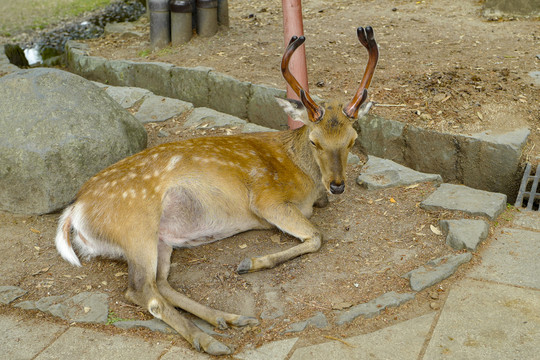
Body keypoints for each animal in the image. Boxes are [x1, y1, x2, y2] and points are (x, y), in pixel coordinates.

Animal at [52, 26, 378, 356]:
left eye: (352, 140)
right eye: (314, 141)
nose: (337, 185)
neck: (304, 179)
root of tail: (74, 211)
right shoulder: (266, 199)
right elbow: (316, 236)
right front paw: (250, 263)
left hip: (160, 240)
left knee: (161, 284)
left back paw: (228, 318)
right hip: (135, 227)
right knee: (142, 291)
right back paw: (209, 339)